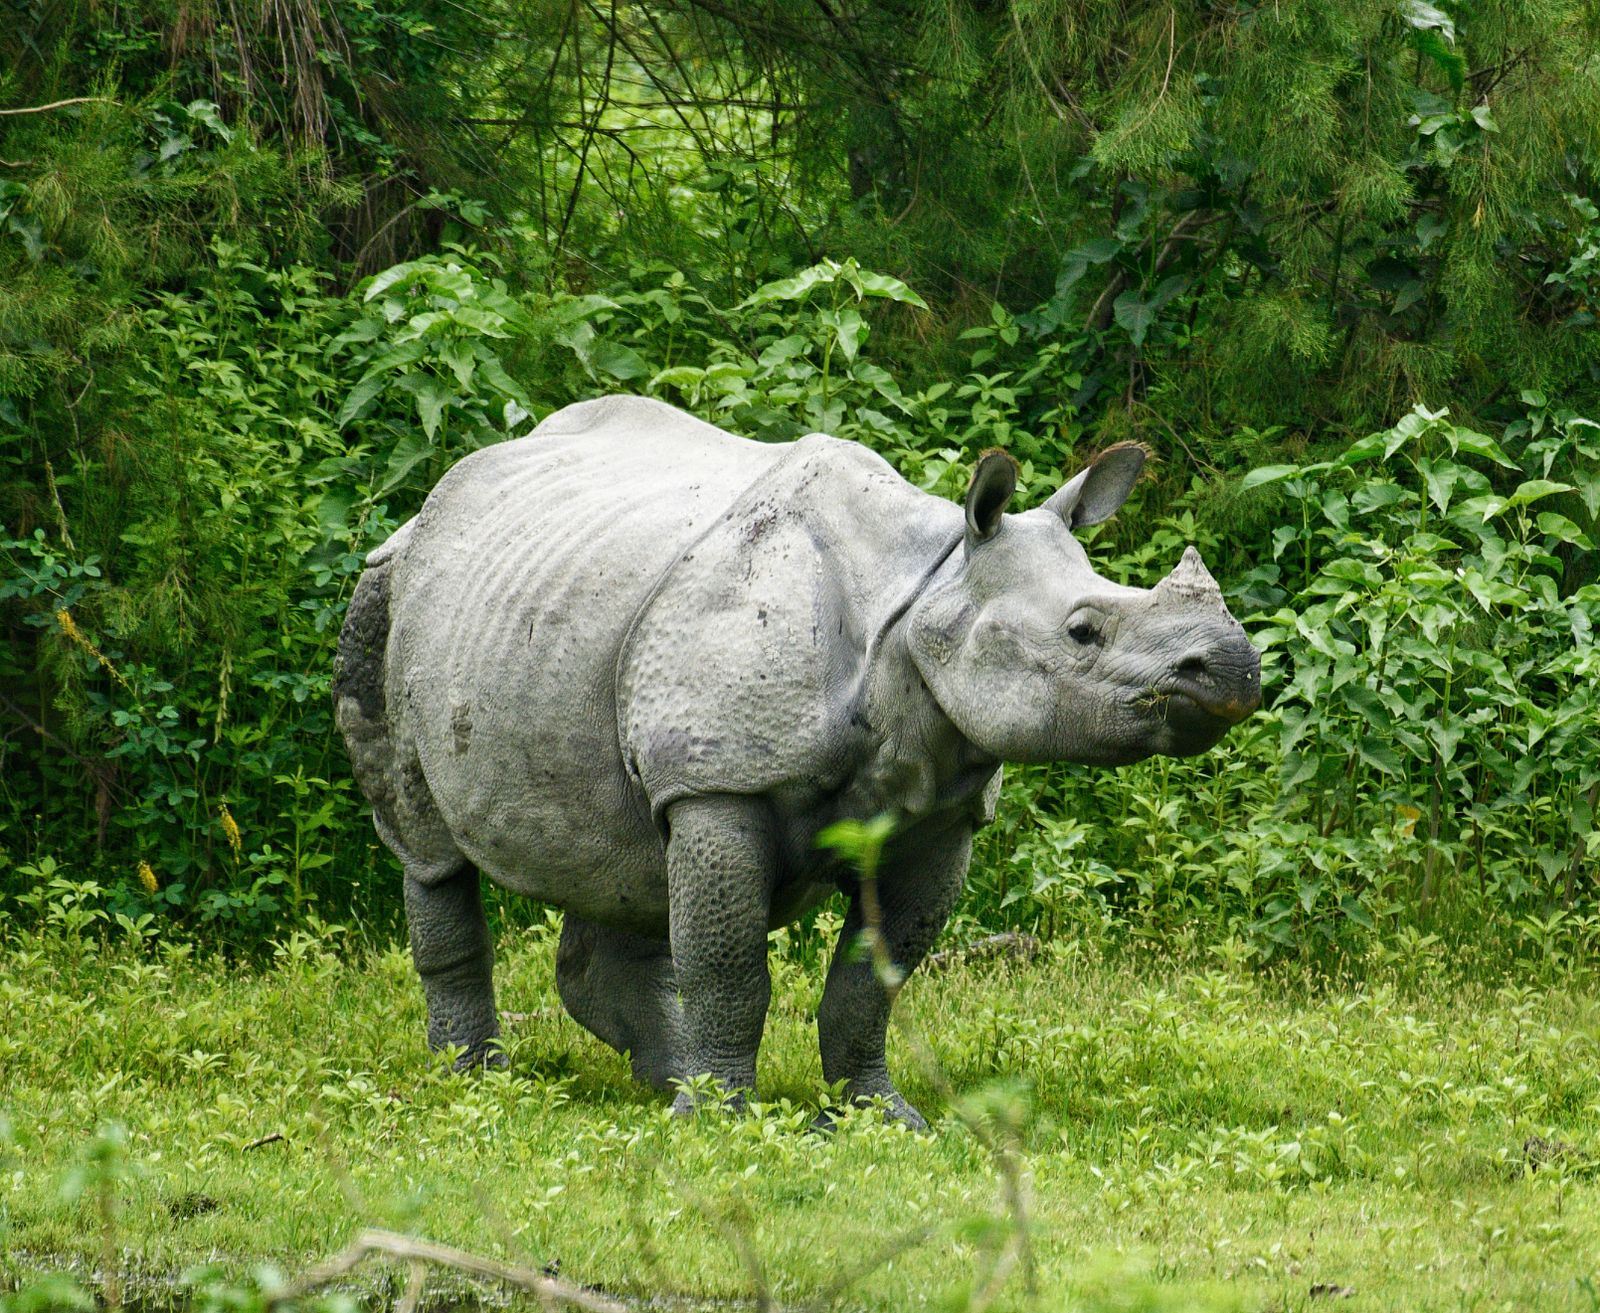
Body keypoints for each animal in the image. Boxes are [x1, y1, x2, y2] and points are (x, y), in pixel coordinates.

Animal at [335, 394, 1259, 1128]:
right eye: (1082, 630)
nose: (1232, 668)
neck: (926, 592)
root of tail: (432, 505)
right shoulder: (719, 779)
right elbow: (729, 966)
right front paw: (720, 1122)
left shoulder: (939, 812)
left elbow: (870, 984)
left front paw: (881, 1117)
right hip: (390, 592)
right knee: (431, 849)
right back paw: (480, 1081)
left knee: (622, 852)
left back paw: (662, 1081)